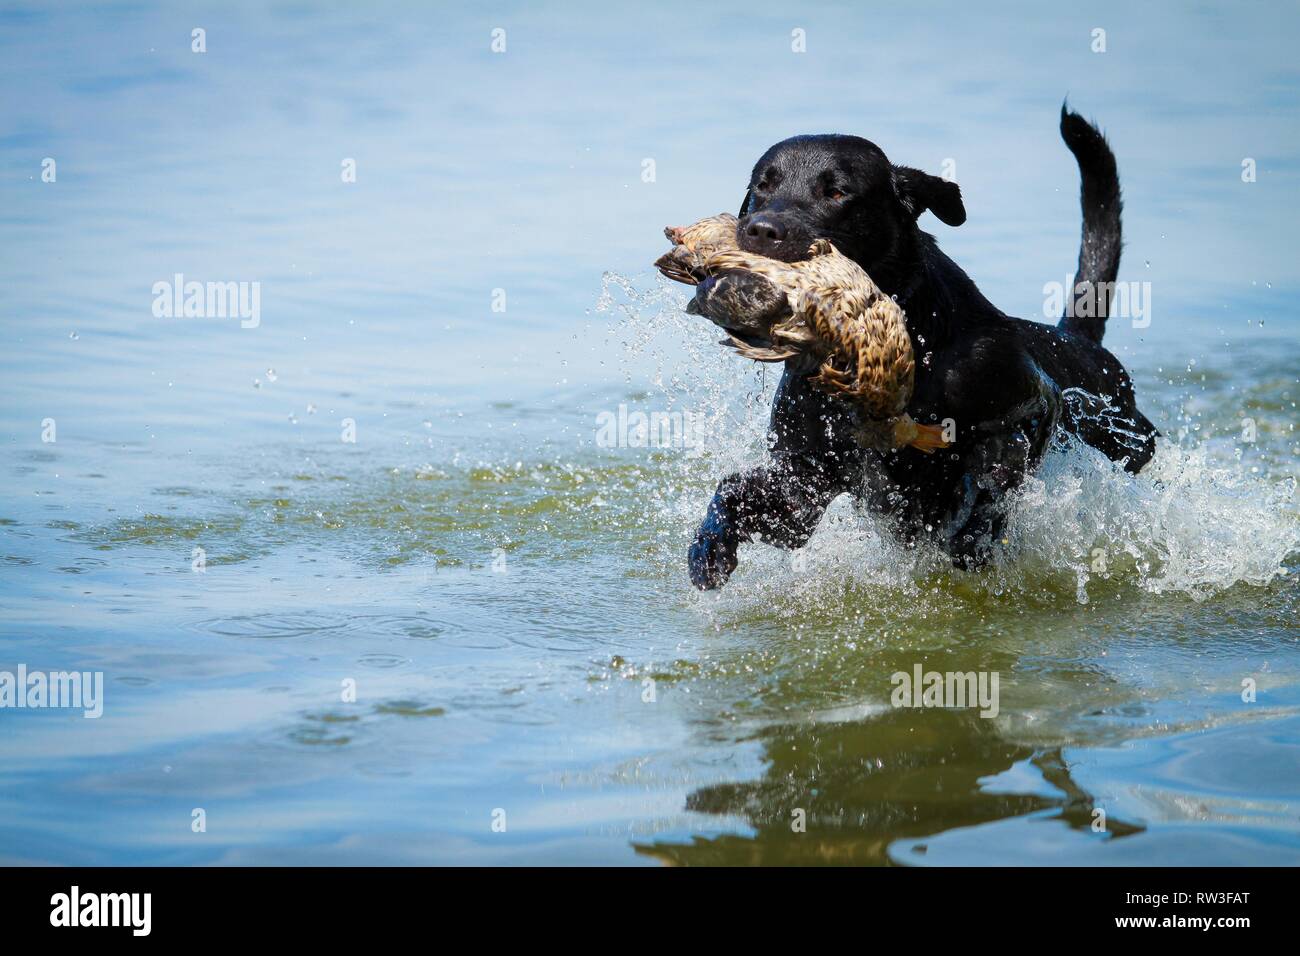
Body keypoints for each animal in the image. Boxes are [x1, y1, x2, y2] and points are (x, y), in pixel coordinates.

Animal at [691, 102, 1159, 582]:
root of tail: (1080, 340)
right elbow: (735, 492)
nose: (761, 230)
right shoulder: (803, 484)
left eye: (837, 192)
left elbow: (995, 470)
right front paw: (710, 548)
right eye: (762, 186)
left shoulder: (1038, 405)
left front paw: (973, 533)